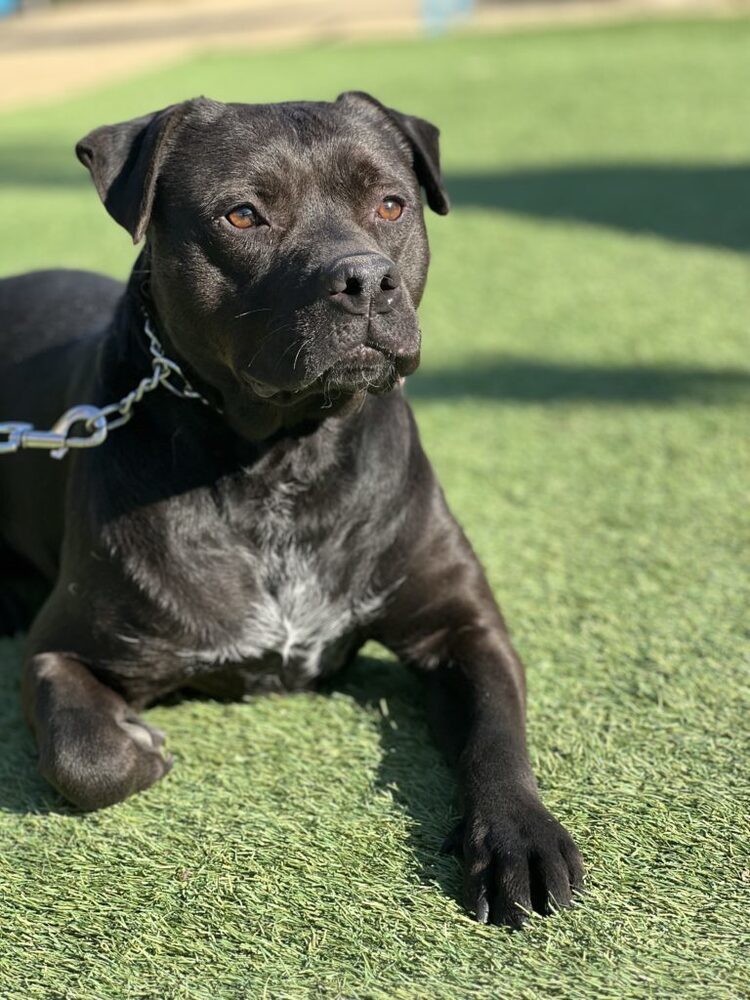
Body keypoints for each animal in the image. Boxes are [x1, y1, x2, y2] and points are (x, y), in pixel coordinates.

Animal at [0, 95, 584, 928]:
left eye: (391, 204)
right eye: (244, 214)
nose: (366, 279)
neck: (283, 462)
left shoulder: (459, 625)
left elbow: (495, 727)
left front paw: (517, 835)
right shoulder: (62, 647)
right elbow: (87, 758)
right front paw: (137, 740)